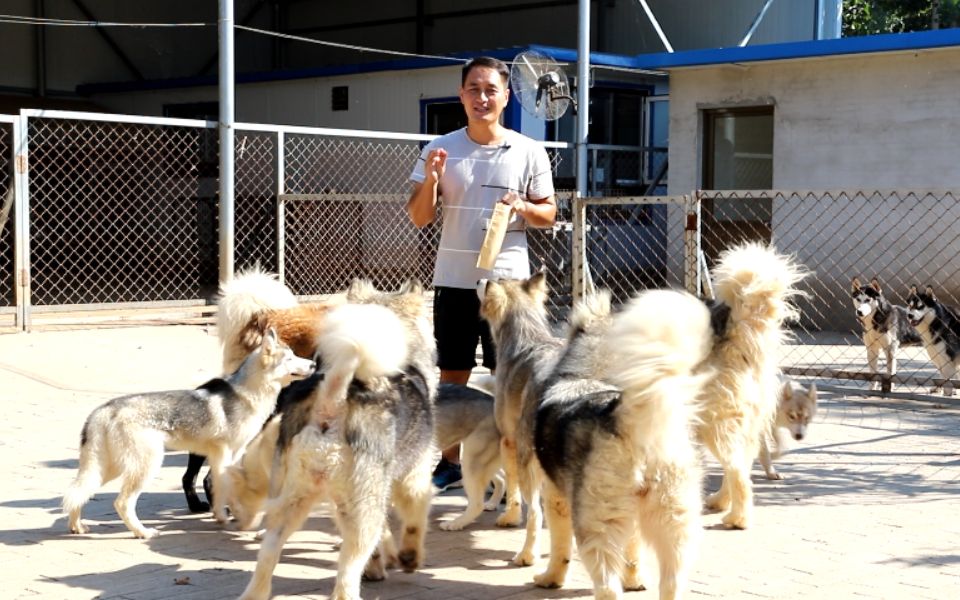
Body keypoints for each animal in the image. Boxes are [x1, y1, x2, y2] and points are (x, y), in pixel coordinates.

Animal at [238, 284, 436, 600]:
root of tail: (333, 400)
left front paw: (379, 565)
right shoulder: (414, 478)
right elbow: (415, 522)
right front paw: (409, 558)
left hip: (291, 501)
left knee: (267, 554)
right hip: (361, 510)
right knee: (346, 574)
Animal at [478, 272, 564, 568]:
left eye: (495, 280)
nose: (480, 279)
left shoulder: (508, 440)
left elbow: (512, 489)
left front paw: (509, 517)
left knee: (535, 513)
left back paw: (526, 555)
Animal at [532, 290, 712, 600]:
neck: (590, 377)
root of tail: (627, 419)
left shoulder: (554, 496)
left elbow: (560, 547)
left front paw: (550, 578)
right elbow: (633, 550)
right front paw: (635, 581)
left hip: (596, 522)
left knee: (606, 587)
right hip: (674, 521)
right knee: (671, 582)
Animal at [692, 244, 808, 528]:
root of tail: (736, 347)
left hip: (717, 424)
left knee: (737, 471)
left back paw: (737, 518)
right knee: (741, 464)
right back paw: (720, 502)